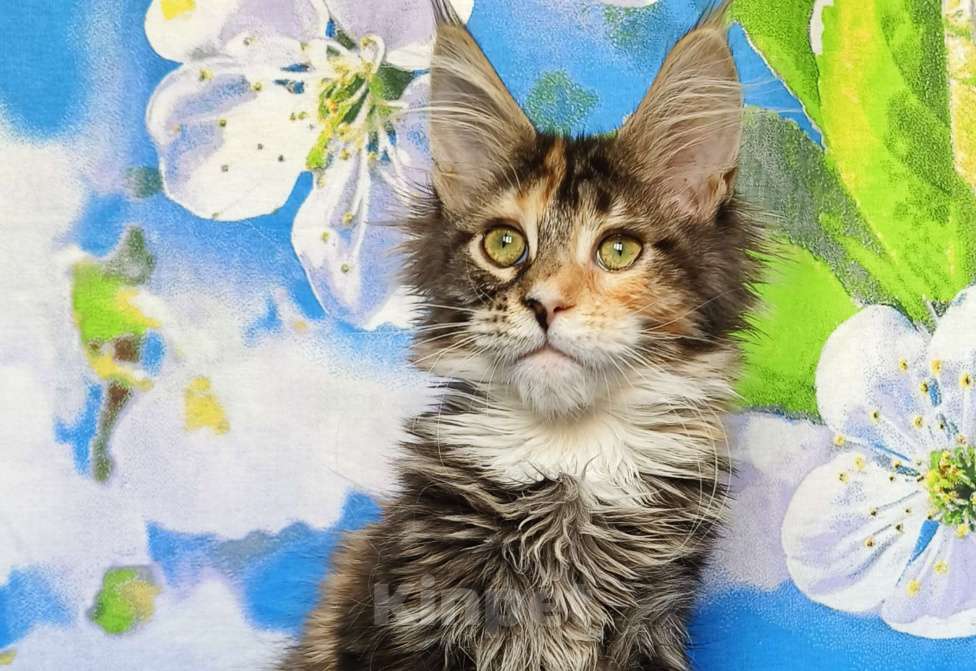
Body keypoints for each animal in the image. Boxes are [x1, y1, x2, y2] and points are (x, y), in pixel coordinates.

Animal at [281, 1, 759, 669]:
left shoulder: (651, 622)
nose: (545, 302)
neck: (567, 456)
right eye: (505, 243)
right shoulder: (406, 608)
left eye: (619, 250)